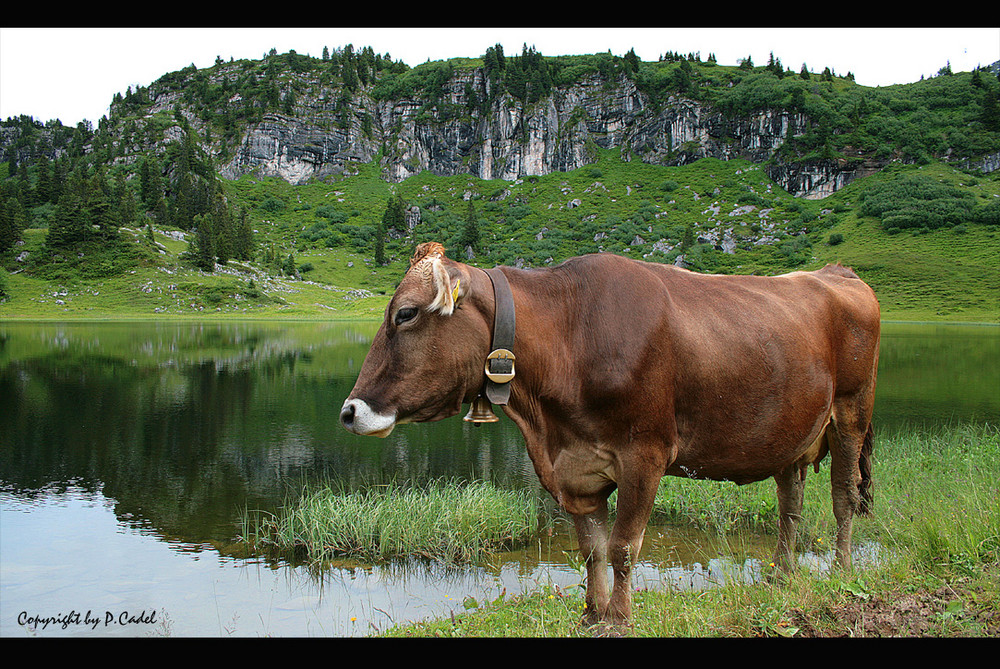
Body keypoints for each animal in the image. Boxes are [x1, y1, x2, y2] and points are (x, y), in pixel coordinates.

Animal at [340, 243, 880, 628]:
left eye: (406, 313)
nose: (349, 412)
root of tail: (837, 272)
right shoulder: (573, 468)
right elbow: (591, 549)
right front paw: (592, 614)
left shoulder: (645, 454)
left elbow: (622, 547)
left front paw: (619, 619)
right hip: (791, 434)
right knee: (791, 507)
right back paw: (781, 576)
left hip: (852, 412)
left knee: (844, 499)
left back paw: (841, 570)